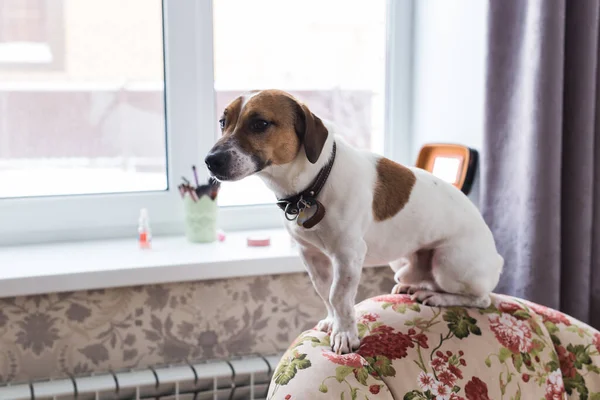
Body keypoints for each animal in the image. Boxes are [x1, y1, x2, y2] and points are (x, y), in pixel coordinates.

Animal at [204, 90, 504, 354]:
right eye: (223, 122)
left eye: (260, 123)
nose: (210, 161)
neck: (313, 186)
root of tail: (496, 256)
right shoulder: (311, 256)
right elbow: (325, 293)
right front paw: (333, 322)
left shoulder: (348, 255)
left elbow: (339, 296)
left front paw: (345, 335)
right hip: (402, 264)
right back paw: (415, 287)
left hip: (447, 265)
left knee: (481, 297)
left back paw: (440, 297)